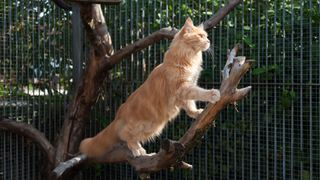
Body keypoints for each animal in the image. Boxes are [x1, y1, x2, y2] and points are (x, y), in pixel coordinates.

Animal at [79, 17, 220, 159]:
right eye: (201, 36)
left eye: (206, 36)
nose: (209, 41)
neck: (186, 59)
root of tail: (118, 115)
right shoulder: (182, 87)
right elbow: (198, 92)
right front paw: (212, 94)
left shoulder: (184, 92)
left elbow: (190, 106)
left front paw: (196, 113)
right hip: (142, 125)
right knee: (124, 134)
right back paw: (137, 149)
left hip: (153, 127)